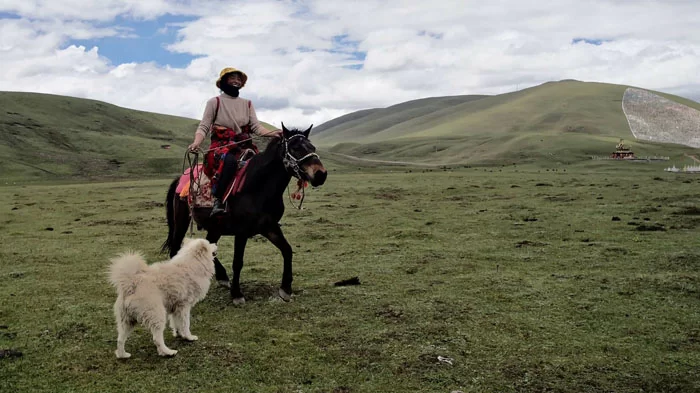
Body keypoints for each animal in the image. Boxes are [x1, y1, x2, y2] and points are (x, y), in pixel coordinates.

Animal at [162, 124, 328, 302]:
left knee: (209, 247)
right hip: (181, 221)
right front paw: (237, 294)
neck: (259, 188)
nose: (321, 174)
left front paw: (285, 288)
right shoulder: (241, 231)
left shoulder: (270, 227)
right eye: (295, 148)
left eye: (312, 148)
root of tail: (180, 178)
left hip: (215, 227)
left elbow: (287, 250)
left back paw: (222, 277)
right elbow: (238, 262)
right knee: (176, 247)